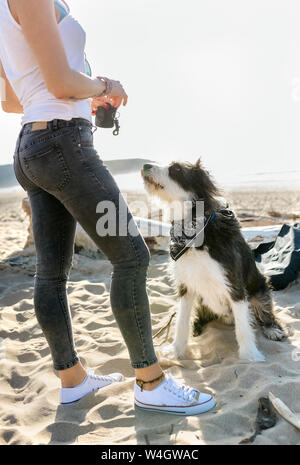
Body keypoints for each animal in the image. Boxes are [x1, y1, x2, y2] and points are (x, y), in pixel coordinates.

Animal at [141, 160, 286, 362]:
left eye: (176, 169)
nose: (144, 165)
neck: (195, 231)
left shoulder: (233, 283)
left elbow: (243, 326)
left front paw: (250, 355)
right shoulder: (186, 284)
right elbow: (181, 321)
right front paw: (176, 349)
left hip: (259, 289)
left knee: (264, 309)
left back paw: (272, 329)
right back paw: (198, 327)